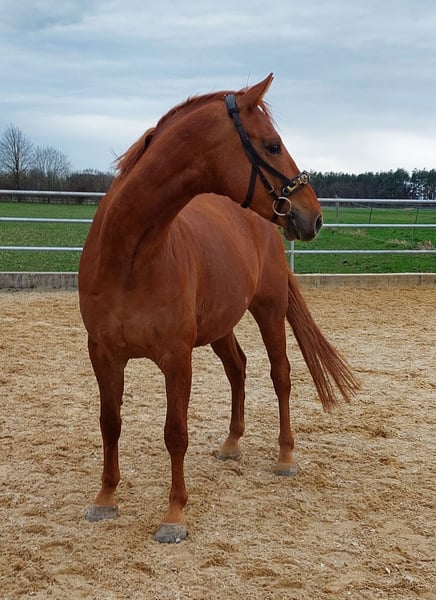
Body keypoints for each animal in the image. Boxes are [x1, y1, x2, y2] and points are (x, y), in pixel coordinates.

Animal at [78, 74, 358, 543]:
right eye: (272, 146)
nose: (314, 216)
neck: (130, 256)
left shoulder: (176, 358)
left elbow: (175, 433)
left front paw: (174, 515)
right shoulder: (102, 353)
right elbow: (109, 422)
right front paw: (105, 499)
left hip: (269, 310)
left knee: (280, 375)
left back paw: (285, 457)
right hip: (221, 325)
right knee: (238, 367)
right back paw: (231, 444)